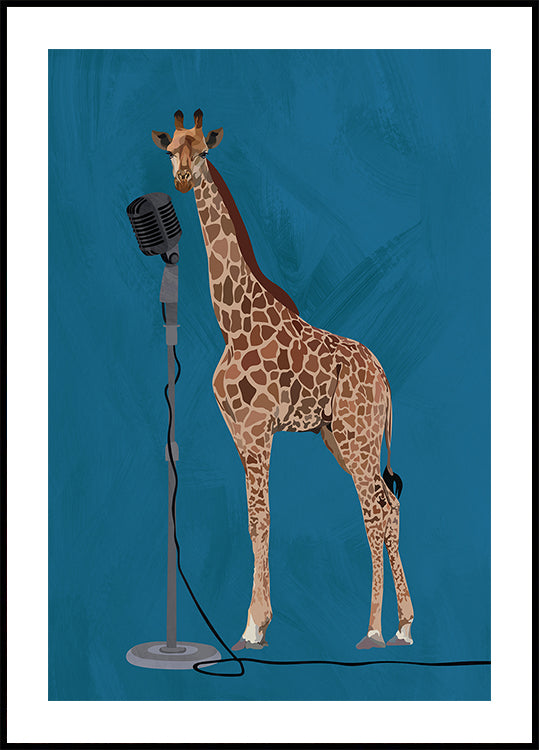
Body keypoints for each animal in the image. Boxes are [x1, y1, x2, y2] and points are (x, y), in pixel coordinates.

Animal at [152, 109, 414, 650]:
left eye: (202, 152)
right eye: (170, 151)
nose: (183, 179)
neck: (231, 321)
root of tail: (384, 377)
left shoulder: (257, 430)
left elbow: (260, 520)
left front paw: (254, 625)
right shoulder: (238, 432)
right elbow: (255, 520)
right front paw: (257, 622)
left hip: (358, 438)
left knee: (374, 513)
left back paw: (373, 631)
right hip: (341, 438)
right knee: (390, 505)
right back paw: (404, 625)